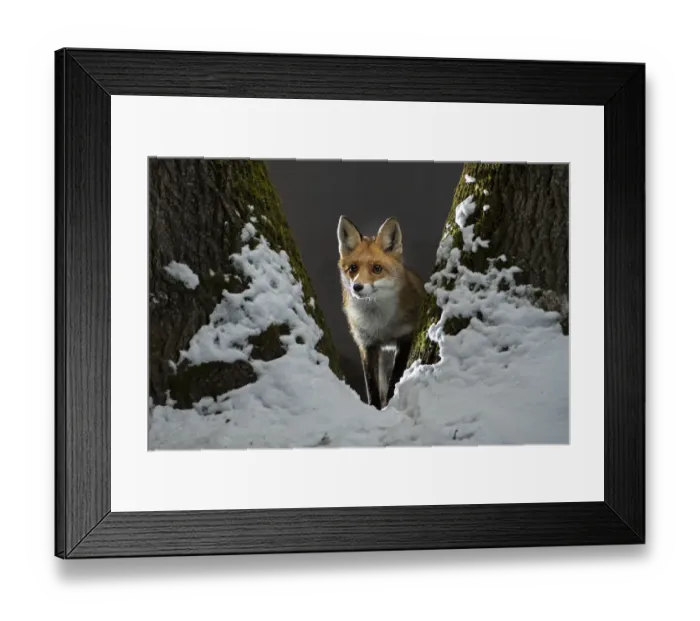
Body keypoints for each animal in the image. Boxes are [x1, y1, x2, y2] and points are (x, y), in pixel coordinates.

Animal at [337, 215, 425, 409]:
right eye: (353, 268)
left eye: (377, 269)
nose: (357, 287)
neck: (379, 324)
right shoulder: (367, 344)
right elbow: (372, 386)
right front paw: (376, 408)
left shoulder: (405, 338)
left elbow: (395, 377)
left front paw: (390, 403)